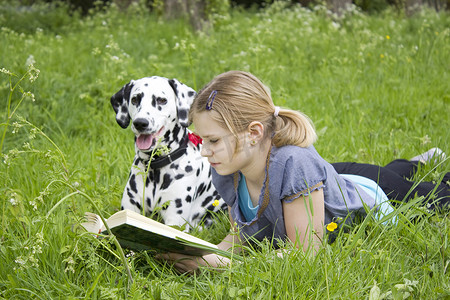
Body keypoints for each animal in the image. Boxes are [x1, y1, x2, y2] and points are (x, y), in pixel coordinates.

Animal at [110, 77, 227, 230]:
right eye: (135, 99)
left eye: (161, 100)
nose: (140, 123)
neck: (156, 169)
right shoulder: (130, 209)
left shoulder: (175, 221)